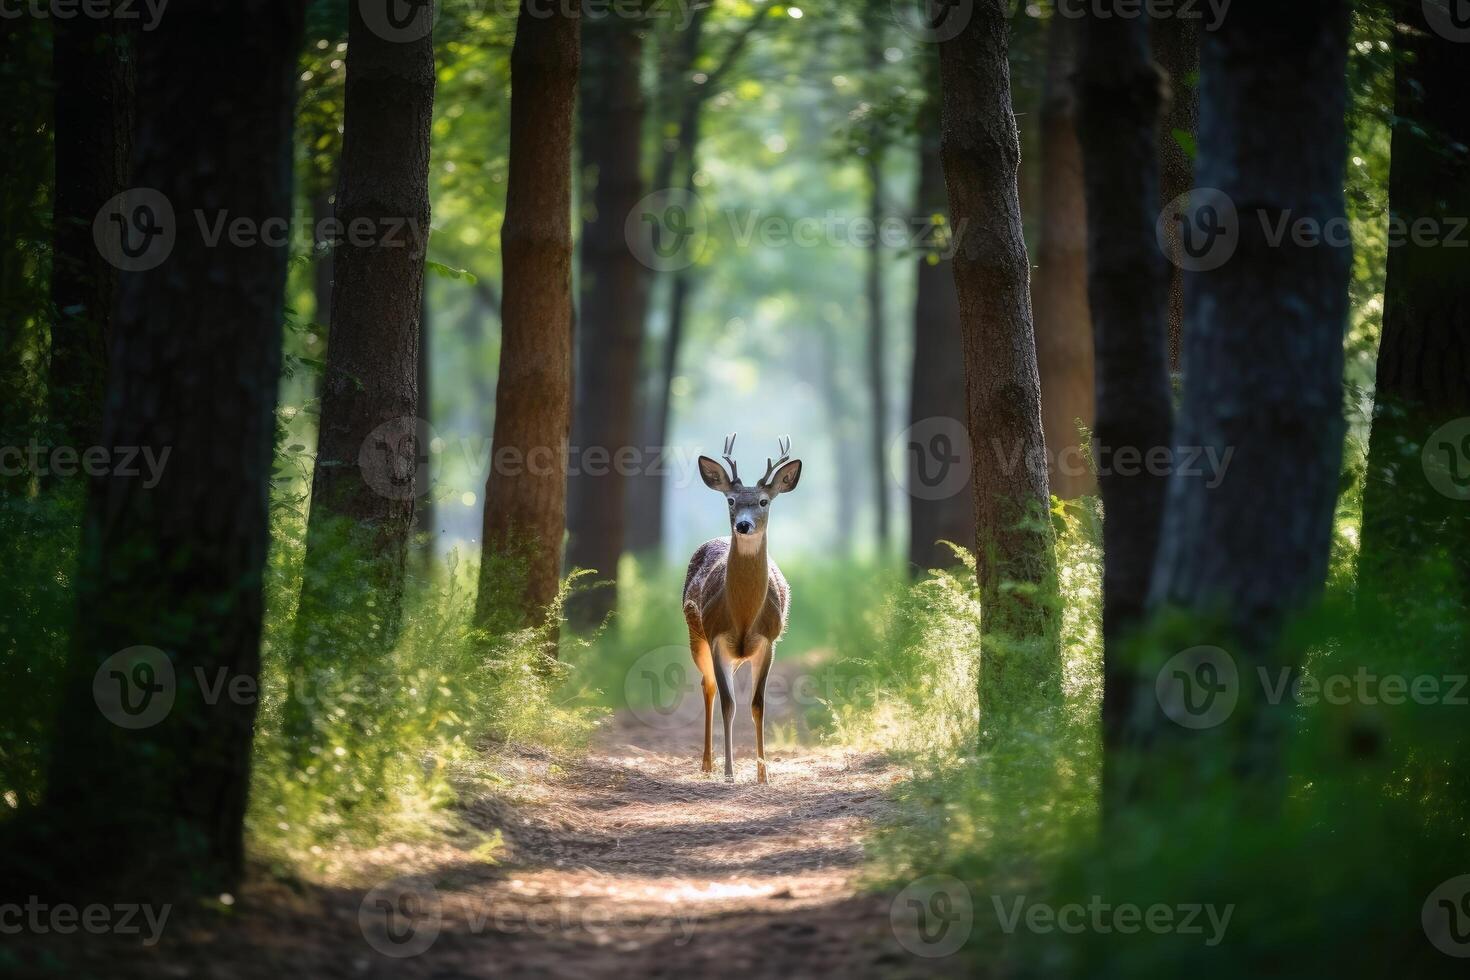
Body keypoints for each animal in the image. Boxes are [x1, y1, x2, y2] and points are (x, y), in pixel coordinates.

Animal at [679, 431, 805, 787]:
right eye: (731, 501)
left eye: (764, 501)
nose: (744, 525)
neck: (745, 617)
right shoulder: (717, 636)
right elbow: (728, 703)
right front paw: (730, 772)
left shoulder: (769, 641)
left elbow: (757, 704)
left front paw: (764, 773)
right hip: (696, 635)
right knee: (707, 686)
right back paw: (707, 763)